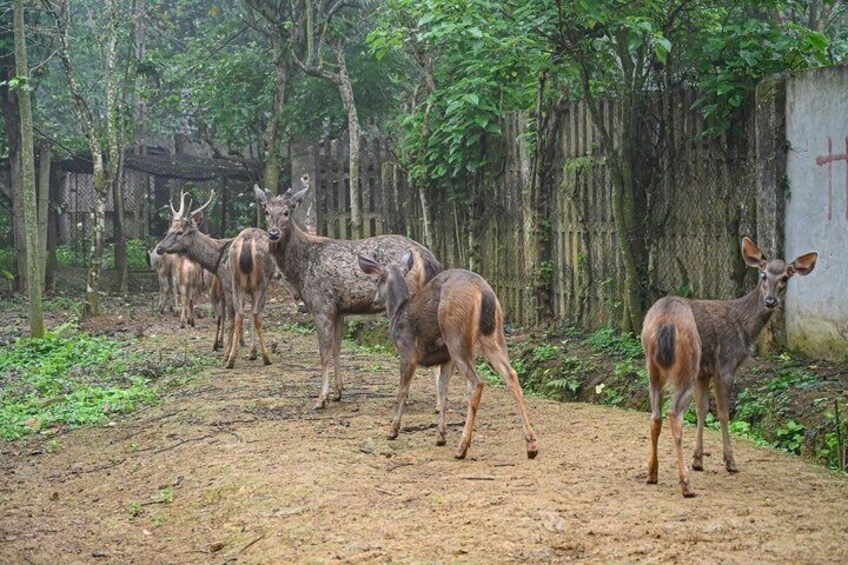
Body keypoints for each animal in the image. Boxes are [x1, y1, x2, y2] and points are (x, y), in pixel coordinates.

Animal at [253, 178, 443, 410]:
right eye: (266, 210)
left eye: (287, 211)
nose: (273, 234)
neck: (301, 269)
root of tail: (429, 258)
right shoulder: (339, 309)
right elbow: (337, 349)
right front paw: (338, 392)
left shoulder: (321, 304)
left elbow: (324, 352)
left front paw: (321, 398)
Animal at [358, 251, 539, 460]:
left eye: (376, 279)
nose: (374, 300)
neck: (398, 311)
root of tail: (483, 291)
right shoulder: (445, 359)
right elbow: (442, 390)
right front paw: (440, 436)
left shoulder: (407, 351)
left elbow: (402, 391)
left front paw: (393, 430)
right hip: (494, 336)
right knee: (511, 375)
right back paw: (531, 446)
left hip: (456, 336)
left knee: (476, 381)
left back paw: (462, 448)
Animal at [642, 236, 818, 497]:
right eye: (763, 274)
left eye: (785, 277)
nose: (770, 301)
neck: (744, 327)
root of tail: (666, 322)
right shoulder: (725, 365)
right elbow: (724, 413)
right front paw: (730, 462)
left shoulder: (704, 371)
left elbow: (703, 409)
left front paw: (698, 460)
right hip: (687, 365)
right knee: (674, 413)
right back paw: (686, 484)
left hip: (653, 368)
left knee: (655, 416)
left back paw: (652, 474)